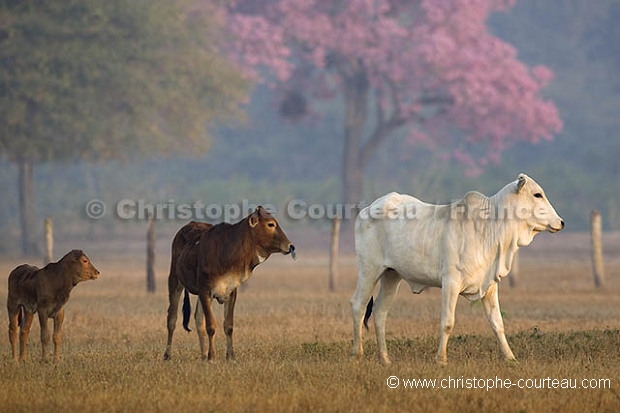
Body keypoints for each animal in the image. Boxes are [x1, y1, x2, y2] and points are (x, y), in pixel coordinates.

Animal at [165, 204, 296, 358]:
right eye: (271, 224)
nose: (290, 246)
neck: (228, 252)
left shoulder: (231, 291)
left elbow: (228, 326)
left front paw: (230, 356)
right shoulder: (205, 291)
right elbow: (211, 326)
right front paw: (212, 356)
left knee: (198, 320)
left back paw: (202, 355)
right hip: (175, 280)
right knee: (172, 318)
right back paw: (168, 355)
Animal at [352, 174, 564, 364]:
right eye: (537, 194)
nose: (561, 222)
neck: (489, 227)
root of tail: (368, 209)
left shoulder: (489, 286)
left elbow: (498, 323)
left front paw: (511, 358)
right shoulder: (450, 282)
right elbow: (447, 322)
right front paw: (441, 359)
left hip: (391, 275)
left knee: (380, 312)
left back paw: (385, 359)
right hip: (369, 270)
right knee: (358, 306)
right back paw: (357, 354)